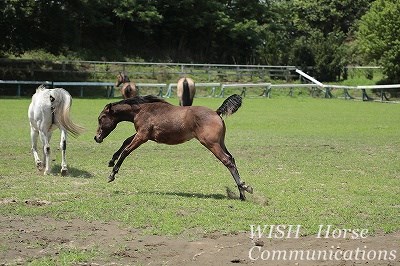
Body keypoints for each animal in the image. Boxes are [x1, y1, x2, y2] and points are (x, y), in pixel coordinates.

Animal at [94, 94, 253, 201]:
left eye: (101, 118)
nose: (97, 138)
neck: (142, 110)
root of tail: (216, 112)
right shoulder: (141, 134)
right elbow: (125, 142)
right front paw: (111, 161)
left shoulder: (142, 136)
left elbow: (126, 151)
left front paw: (112, 175)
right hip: (220, 143)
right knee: (232, 159)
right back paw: (242, 193)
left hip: (211, 144)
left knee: (228, 161)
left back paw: (245, 188)